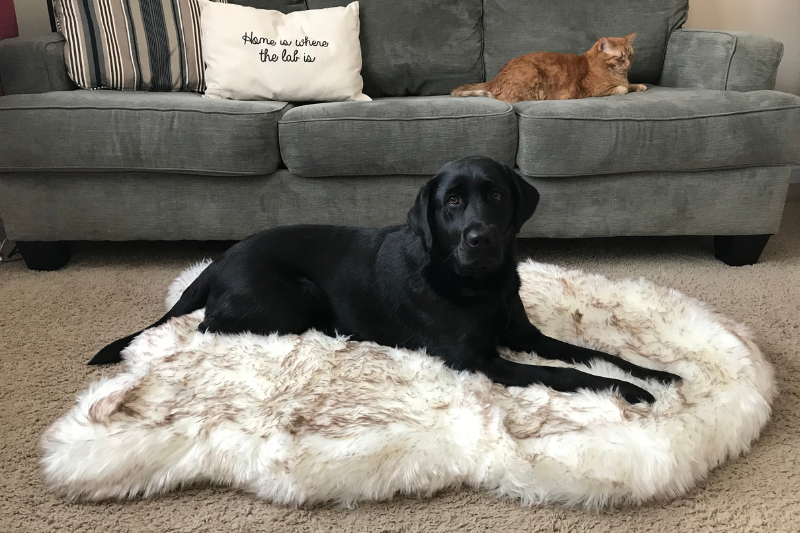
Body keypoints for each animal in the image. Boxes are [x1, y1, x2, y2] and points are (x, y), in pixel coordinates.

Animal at [90, 156, 680, 402]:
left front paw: (659, 375)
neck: (477, 285)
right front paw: (631, 393)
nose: (480, 238)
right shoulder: (481, 361)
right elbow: (570, 374)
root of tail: (219, 260)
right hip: (295, 298)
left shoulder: (524, 335)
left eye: (494, 194)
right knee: (207, 327)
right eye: (451, 203)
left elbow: (593, 352)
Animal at [454, 34, 648, 104]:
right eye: (620, 57)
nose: (628, 64)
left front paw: (639, 85)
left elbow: (630, 85)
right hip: (531, 73)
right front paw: (627, 87)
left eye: (631, 56)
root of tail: (496, 77)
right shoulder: (593, 91)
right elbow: (622, 88)